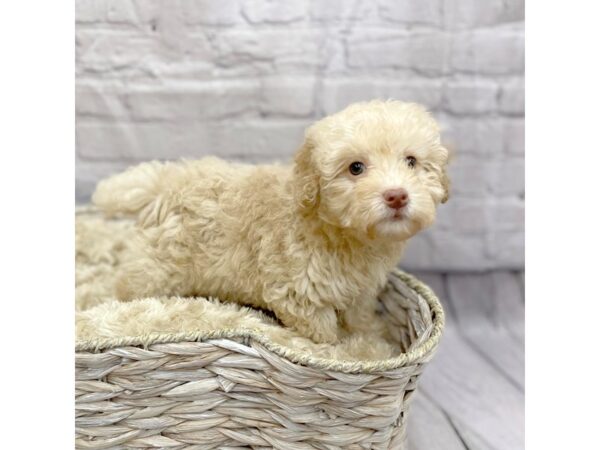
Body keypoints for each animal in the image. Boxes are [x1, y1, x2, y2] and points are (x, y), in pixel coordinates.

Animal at [92, 99, 450, 344]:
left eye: (411, 161)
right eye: (356, 168)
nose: (397, 196)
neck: (339, 232)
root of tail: (164, 180)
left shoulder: (361, 290)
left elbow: (358, 314)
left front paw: (366, 335)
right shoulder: (299, 291)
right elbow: (323, 333)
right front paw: (338, 349)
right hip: (158, 267)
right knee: (132, 283)